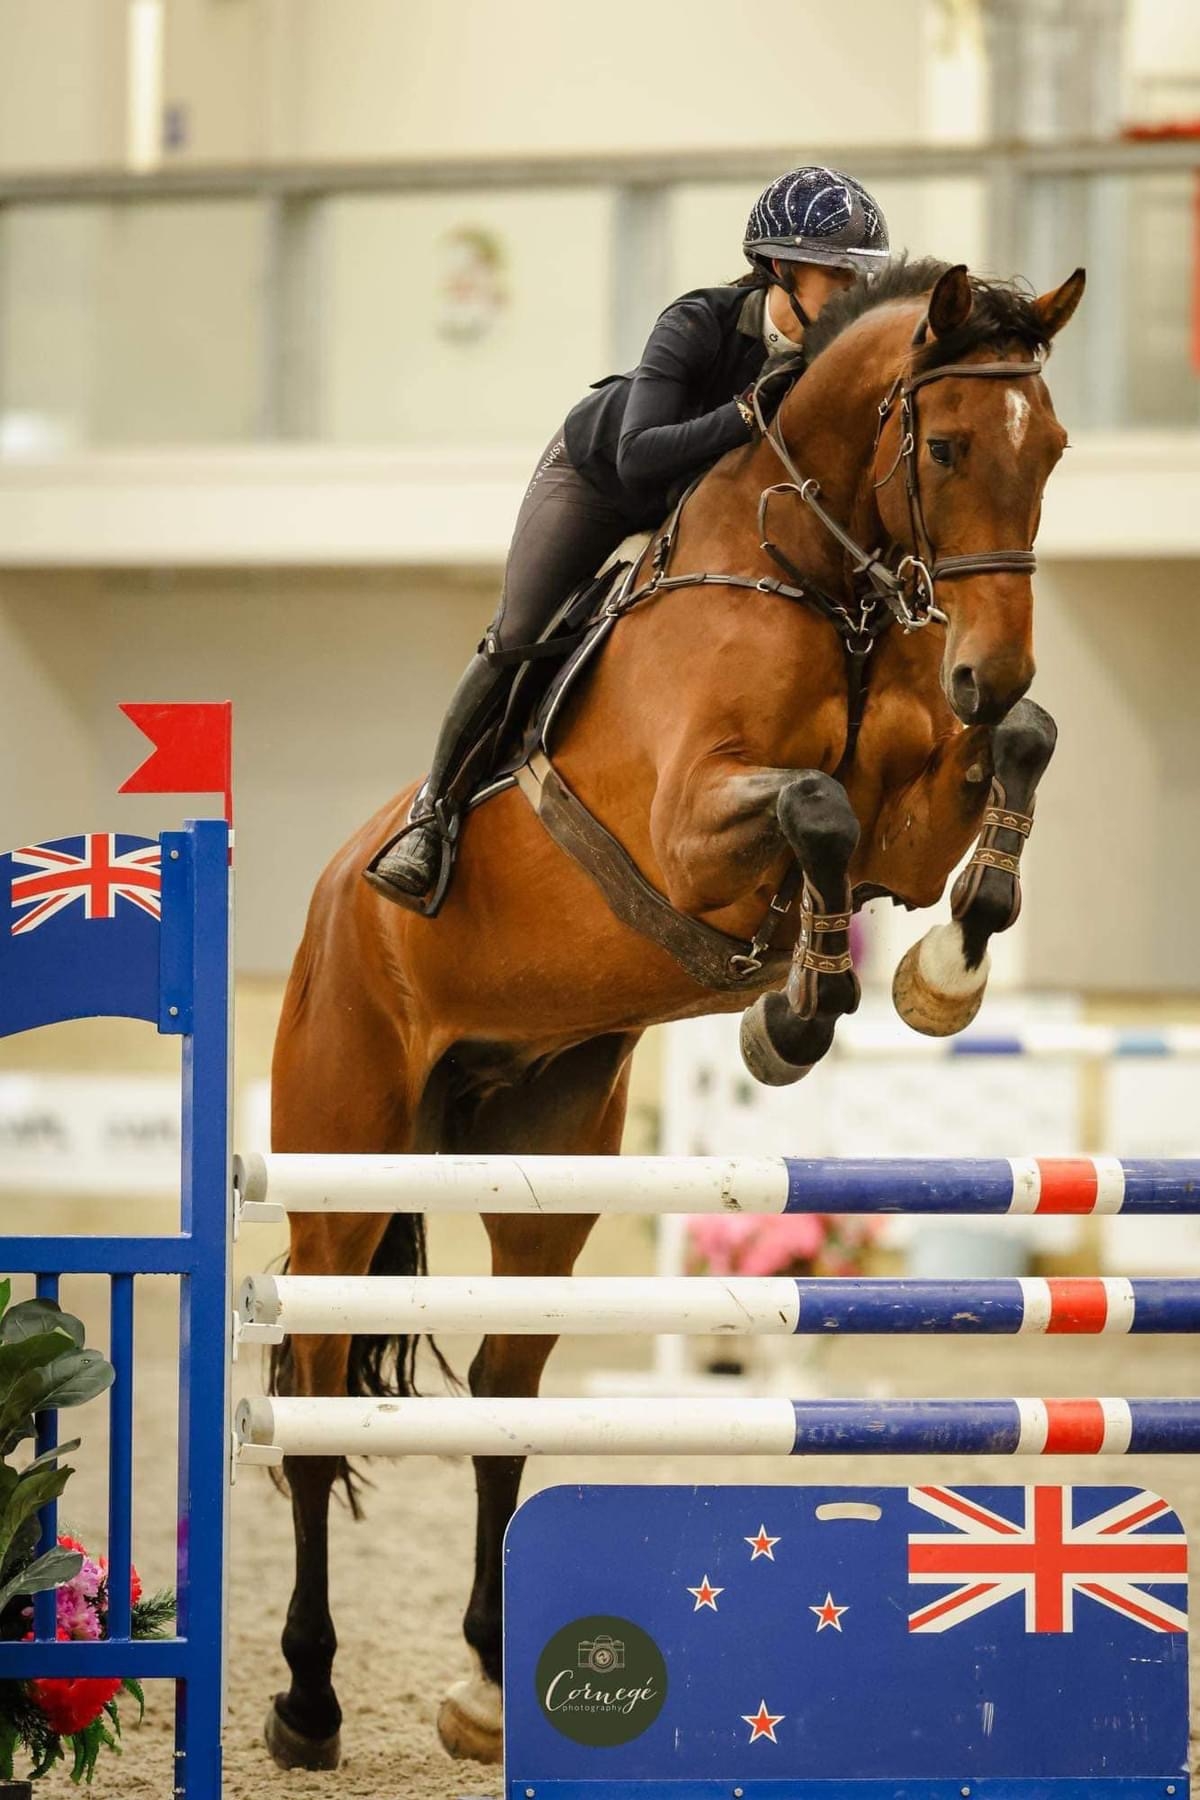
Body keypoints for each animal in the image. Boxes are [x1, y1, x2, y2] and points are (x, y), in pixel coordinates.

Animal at [264, 256, 1085, 1772]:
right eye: (946, 448)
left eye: (1050, 450)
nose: (986, 664)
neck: (816, 577)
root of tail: (332, 900)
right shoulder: (692, 829)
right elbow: (812, 808)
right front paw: (803, 1010)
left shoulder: (912, 819)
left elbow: (1008, 756)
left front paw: (934, 972)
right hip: (341, 1159)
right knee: (315, 1381)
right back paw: (305, 1700)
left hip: (549, 1158)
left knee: (505, 1387)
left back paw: (487, 1681)